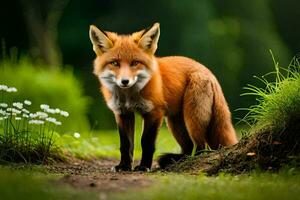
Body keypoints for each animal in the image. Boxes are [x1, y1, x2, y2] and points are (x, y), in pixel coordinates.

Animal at [88, 22, 238, 172]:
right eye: (115, 63)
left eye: (135, 63)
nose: (125, 81)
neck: (129, 96)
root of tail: (209, 72)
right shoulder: (122, 113)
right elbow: (125, 144)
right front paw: (124, 166)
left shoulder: (154, 112)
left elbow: (146, 142)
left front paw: (144, 166)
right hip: (175, 123)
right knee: (189, 147)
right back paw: (177, 160)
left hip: (192, 118)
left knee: (202, 148)